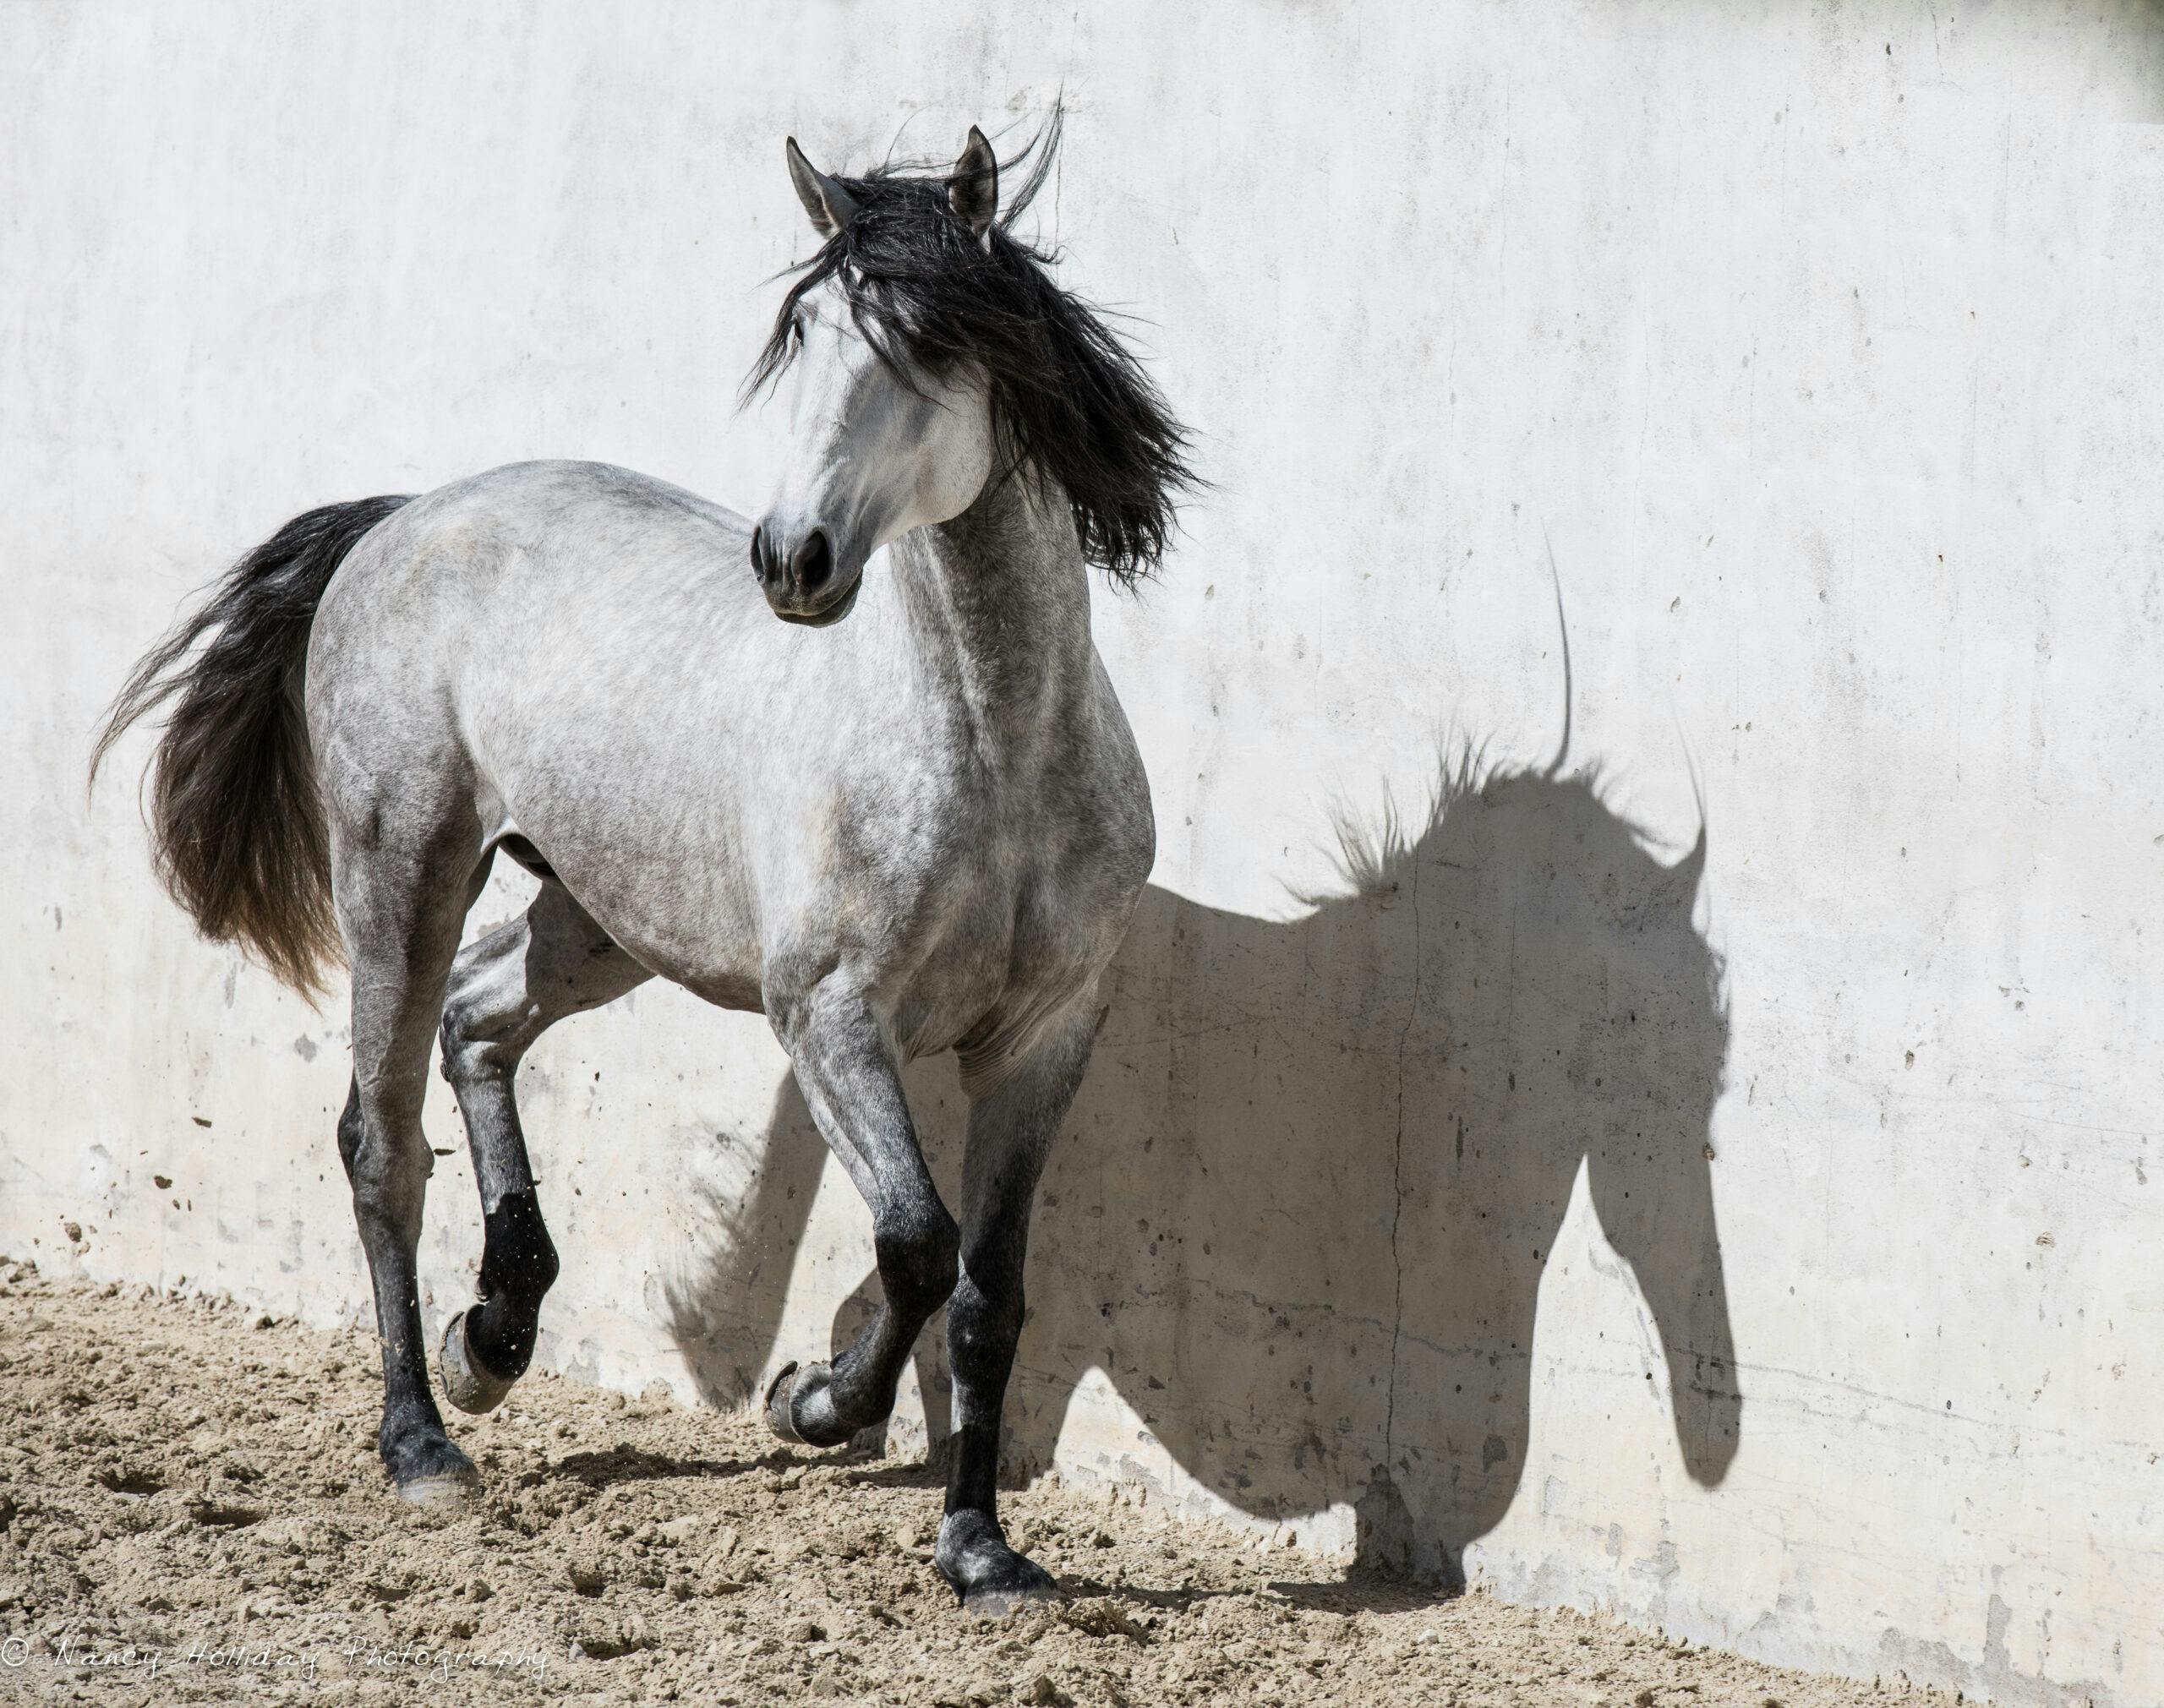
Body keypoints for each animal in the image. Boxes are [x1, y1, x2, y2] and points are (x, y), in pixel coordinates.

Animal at [88, 123, 1203, 1610]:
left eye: (930, 347)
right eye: (803, 340)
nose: (794, 561)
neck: (994, 750)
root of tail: (407, 515)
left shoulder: (1043, 1041)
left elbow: (988, 1295)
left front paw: (980, 1549)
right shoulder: (829, 1017)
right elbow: (915, 1246)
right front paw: (812, 1403)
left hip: (602, 916)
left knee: (480, 1021)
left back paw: (495, 1336)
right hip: (405, 869)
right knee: (381, 1135)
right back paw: (423, 1439)